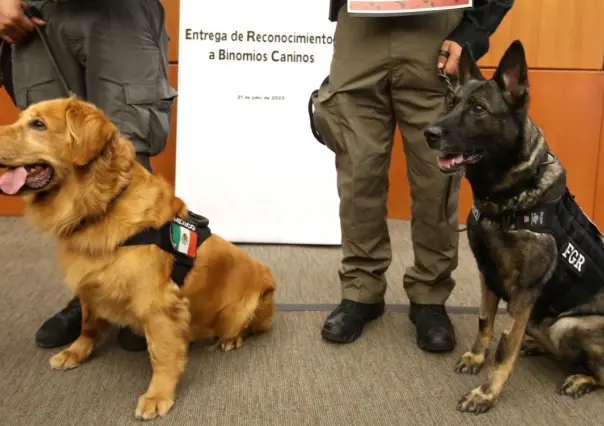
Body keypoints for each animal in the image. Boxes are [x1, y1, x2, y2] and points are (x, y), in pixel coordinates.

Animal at [0, 96, 276, 420]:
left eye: (38, 124)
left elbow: (163, 354)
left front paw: (158, 395)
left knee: (247, 327)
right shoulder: (90, 284)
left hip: (242, 309)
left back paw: (231, 339)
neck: (103, 205)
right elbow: (88, 324)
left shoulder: (159, 303)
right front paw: (76, 351)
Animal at [422, 40, 604, 412]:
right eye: (452, 103)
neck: (508, 197)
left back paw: (580, 378)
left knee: (601, 372)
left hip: (568, 324)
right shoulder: (487, 276)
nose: (428, 133)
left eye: (478, 109)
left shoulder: (523, 292)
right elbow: (485, 322)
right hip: (540, 319)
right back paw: (537, 346)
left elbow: (506, 346)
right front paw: (477, 358)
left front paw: (487, 393)